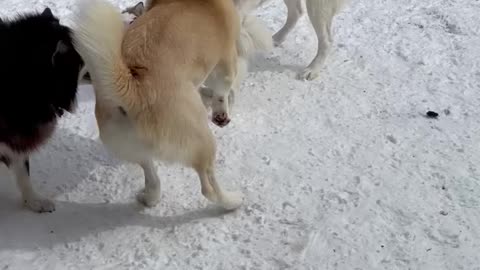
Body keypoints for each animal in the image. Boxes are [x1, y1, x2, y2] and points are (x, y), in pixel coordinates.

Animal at [73, 0, 246, 210]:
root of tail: (132, 90)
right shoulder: (225, 65)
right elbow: (222, 92)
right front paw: (222, 113)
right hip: (202, 141)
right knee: (209, 188)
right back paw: (233, 201)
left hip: (134, 148)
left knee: (151, 176)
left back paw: (150, 198)